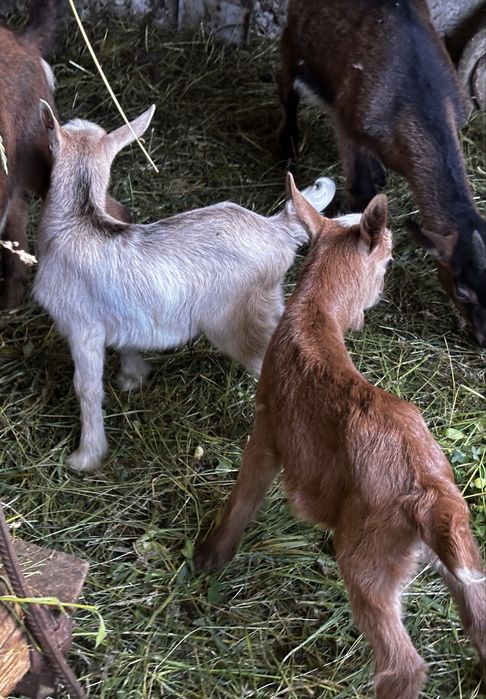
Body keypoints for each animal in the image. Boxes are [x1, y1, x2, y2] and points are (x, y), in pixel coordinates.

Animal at [33, 101, 335, 473]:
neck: (78, 222)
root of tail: (275, 229)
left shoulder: (82, 327)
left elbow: (86, 388)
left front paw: (85, 456)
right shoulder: (120, 314)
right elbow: (126, 343)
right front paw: (133, 378)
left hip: (239, 323)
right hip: (269, 303)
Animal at [195, 173, 486, 699]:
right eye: (387, 261)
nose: (374, 303)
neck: (314, 318)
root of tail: (431, 495)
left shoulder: (268, 424)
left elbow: (245, 494)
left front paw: (211, 555)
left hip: (369, 556)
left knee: (402, 664)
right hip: (456, 549)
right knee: (480, 617)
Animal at [279, 0, 486, 346]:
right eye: (462, 291)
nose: (484, 340)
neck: (419, 102)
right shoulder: (349, 123)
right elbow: (361, 191)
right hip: (293, 35)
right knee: (287, 86)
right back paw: (287, 147)